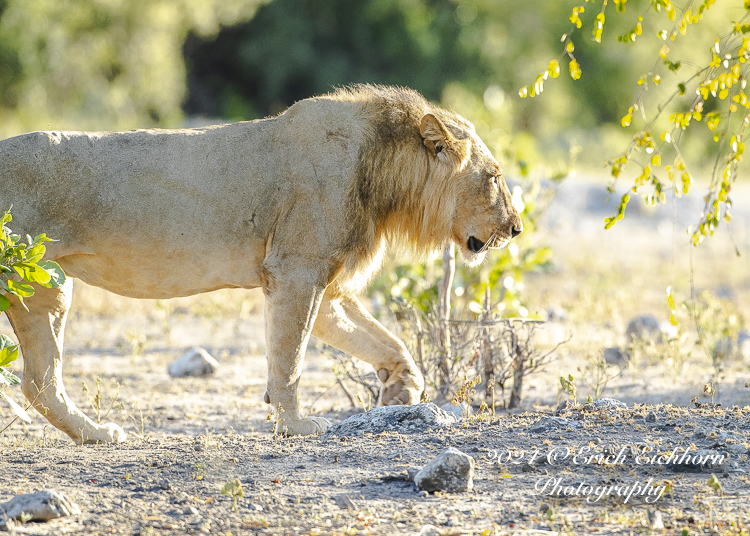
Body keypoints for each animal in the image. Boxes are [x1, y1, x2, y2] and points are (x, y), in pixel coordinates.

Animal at [1, 85, 524, 444]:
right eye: (495, 177)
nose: (517, 228)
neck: (382, 174)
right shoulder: (297, 272)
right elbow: (289, 360)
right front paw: (295, 425)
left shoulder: (325, 287)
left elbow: (386, 342)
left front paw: (400, 392)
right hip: (40, 281)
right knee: (41, 379)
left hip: (44, 286)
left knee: (39, 383)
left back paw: (96, 435)